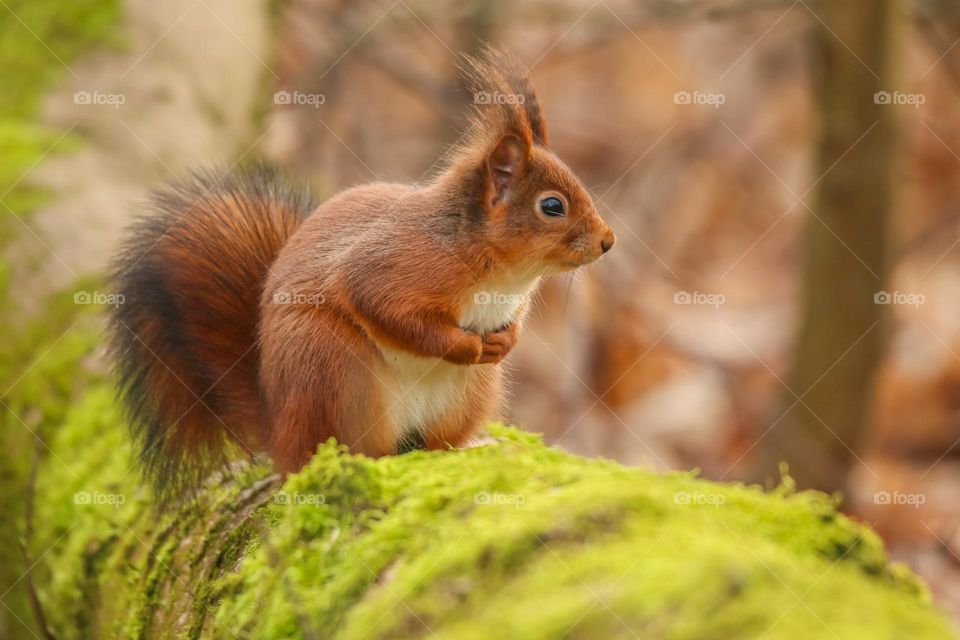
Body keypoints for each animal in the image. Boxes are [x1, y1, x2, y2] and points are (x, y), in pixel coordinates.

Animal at [110, 50, 616, 498]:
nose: (608, 241)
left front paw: (504, 341)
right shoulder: (395, 267)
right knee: (350, 448)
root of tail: (279, 431)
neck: (503, 273)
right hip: (332, 367)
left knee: (434, 441)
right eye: (552, 206)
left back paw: (460, 447)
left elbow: (514, 324)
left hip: (470, 393)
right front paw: (467, 345)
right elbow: (387, 309)